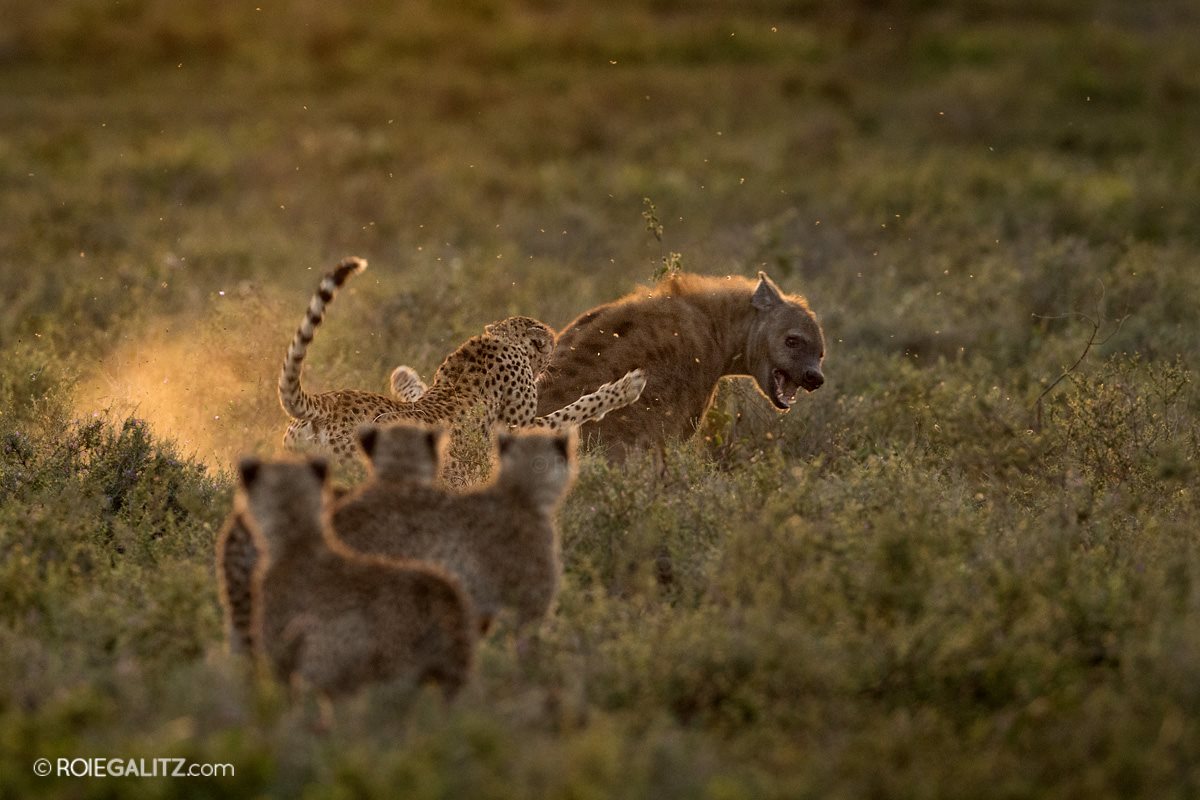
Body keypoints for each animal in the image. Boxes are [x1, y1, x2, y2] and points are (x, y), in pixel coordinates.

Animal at [274, 256, 648, 472]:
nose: (549, 357)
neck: (502, 341)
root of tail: (327, 402)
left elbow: (418, 390)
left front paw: (403, 376)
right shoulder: (519, 427)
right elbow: (571, 411)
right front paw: (624, 389)